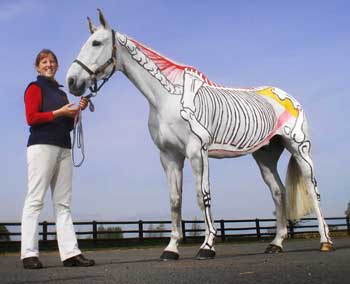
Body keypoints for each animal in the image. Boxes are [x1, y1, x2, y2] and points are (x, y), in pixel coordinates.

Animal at [66, 10, 334, 260]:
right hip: (265, 156)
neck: (167, 99)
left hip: (300, 149)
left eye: (96, 43)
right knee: (278, 192)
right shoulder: (169, 156)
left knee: (313, 190)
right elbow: (175, 199)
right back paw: (276, 244)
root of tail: (291, 98)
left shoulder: (197, 152)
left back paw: (325, 241)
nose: (71, 81)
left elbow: (202, 195)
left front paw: (207, 246)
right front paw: (171, 249)